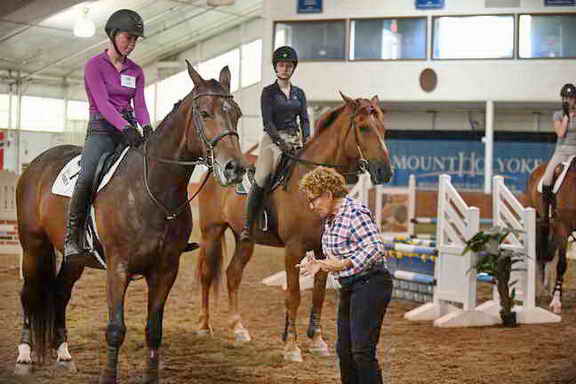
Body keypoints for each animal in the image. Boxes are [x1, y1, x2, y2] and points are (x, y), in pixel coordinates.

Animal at [14, 63, 248, 384]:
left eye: (236, 113)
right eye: (204, 113)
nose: (236, 168)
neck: (152, 189)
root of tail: (35, 165)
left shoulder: (165, 270)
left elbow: (154, 331)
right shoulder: (118, 267)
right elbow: (115, 330)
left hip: (74, 259)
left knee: (60, 292)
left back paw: (63, 353)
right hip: (32, 246)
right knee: (29, 293)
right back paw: (24, 354)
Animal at [197, 92, 392, 360]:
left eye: (383, 128)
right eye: (363, 127)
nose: (385, 172)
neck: (311, 180)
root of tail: (215, 169)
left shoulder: (322, 251)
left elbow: (318, 294)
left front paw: (317, 340)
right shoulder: (294, 250)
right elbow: (293, 295)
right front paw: (291, 346)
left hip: (244, 239)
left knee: (233, 275)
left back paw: (239, 329)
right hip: (212, 232)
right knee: (207, 275)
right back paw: (204, 326)